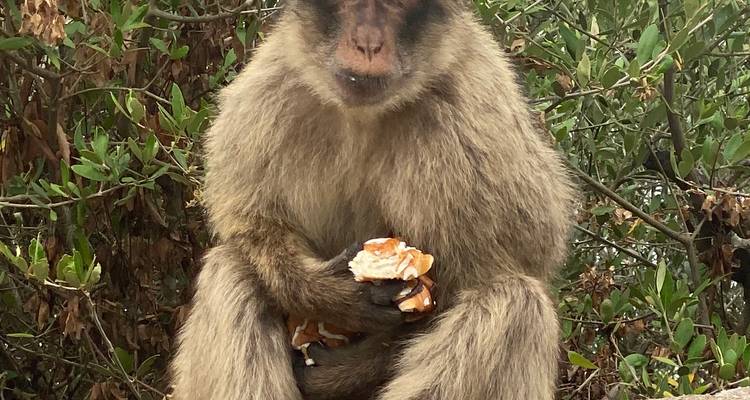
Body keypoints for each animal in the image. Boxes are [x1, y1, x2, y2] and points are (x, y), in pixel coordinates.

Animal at [169, 1, 575, 399]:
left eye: (396, 7)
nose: (367, 43)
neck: (363, 115)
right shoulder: (270, 87)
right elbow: (251, 221)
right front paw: (327, 294)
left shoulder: (473, 123)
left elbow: (491, 272)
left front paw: (347, 369)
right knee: (233, 268)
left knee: (516, 300)